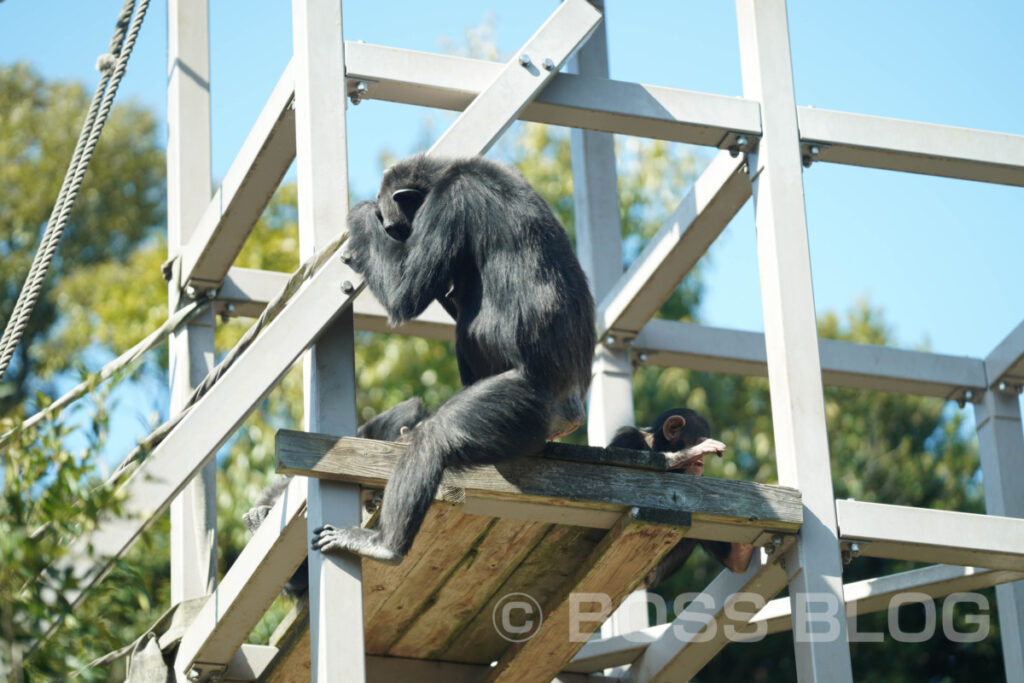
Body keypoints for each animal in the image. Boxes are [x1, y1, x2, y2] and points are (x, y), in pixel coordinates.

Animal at [315, 154, 598, 565]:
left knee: (437, 437)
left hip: (522, 404)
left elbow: (405, 292)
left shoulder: (450, 204)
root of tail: (573, 411)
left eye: (392, 226)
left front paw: (361, 215)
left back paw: (385, 545)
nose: (391, 232)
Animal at [606, 409, 761, 585]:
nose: (701, 462)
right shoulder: (627, 439)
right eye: (698, 442)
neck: (655, 447)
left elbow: (735, 562)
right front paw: (684, 456)